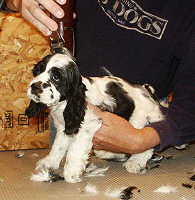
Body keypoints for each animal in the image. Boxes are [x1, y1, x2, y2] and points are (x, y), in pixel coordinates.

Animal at [25, 49, 163, 183]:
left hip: (139, 121)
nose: (34, 86)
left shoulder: (87, 126)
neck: (66, 103)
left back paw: (134, 162)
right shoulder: (65, 126)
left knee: (144, 146)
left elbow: (75, 149)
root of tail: (148, 91)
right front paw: (49, 162)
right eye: (37, 71)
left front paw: (71, 172)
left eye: (56, 77)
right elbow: (58, 146)